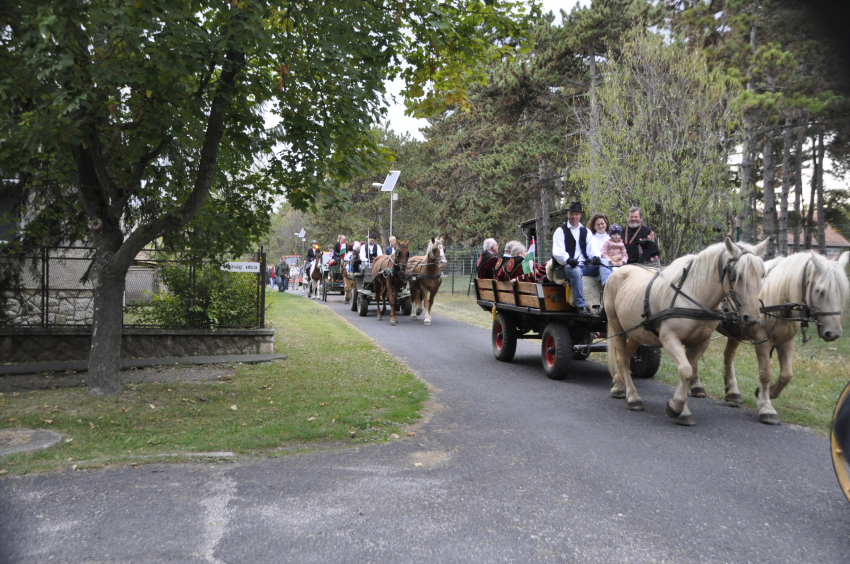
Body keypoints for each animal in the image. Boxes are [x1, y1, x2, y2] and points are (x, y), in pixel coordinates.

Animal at [604, 239, 768, 428]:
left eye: (762, 274)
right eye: (737, 275)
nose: (752, 318)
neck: (694, 296)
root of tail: (619, 270)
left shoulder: (701, 341)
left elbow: (688, 372)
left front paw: (682, 411)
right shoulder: (669, 338)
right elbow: (686, 370)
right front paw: (676, 407)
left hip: (637, 331)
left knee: (627, 354)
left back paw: (619, 384)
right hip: (617, 327)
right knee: (622, 359)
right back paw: (632, 397)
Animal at [696, 251, 848, 424]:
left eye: (843, 292)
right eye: (819, 291)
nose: (833, 333)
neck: (778, 302)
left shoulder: (787, 342)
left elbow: (786, 375)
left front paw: (768, 393)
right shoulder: (762, 342)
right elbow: (765, 373)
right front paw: (766, 407)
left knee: (729, 355)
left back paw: (733, 392)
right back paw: (697, 386)